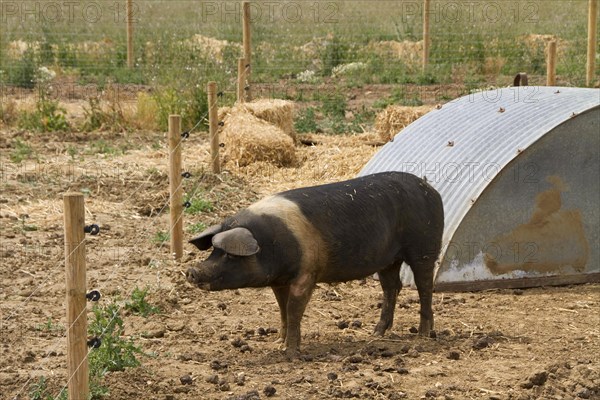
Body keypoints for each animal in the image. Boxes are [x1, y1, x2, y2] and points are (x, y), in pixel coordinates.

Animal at [188, 171, 446, 356]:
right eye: (213, 250)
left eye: (230, 255)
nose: (192, 270)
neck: (272, 241)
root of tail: (432, 190)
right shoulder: (279, 280)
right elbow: (282, 309)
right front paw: (277, 343)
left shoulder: (306, 275)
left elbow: (294, 311)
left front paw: (291, 352)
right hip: (388, 259)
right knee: (392, 287)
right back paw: (376, 333)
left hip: (424, 247)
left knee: (424, 286)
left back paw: (423, 334)